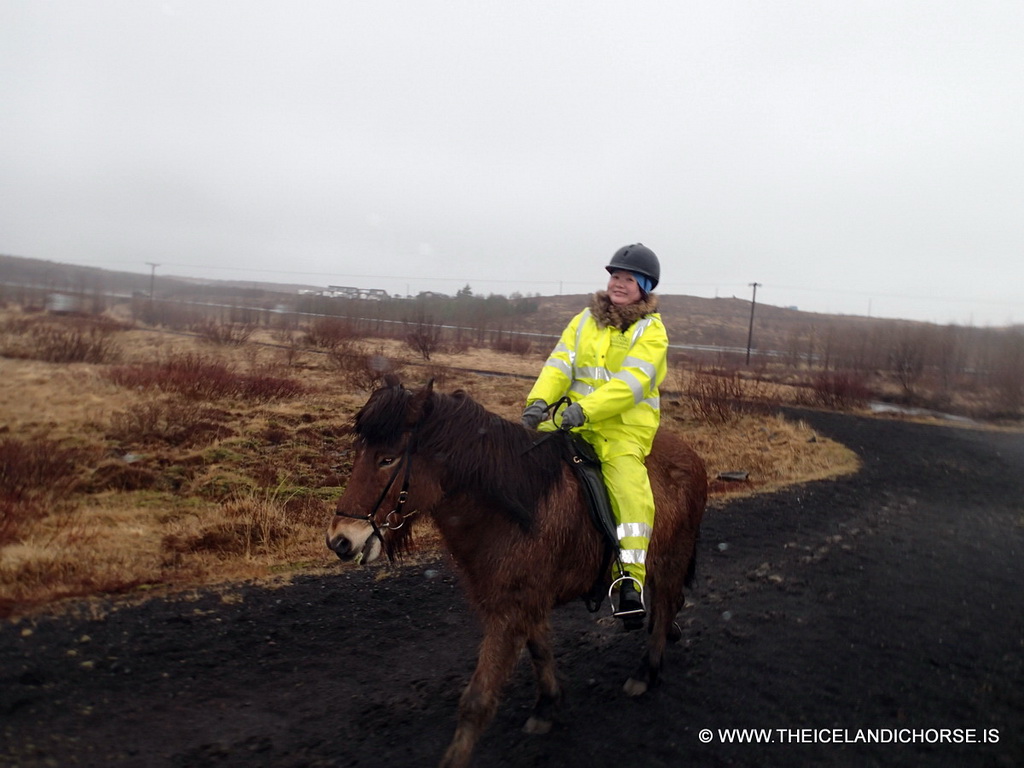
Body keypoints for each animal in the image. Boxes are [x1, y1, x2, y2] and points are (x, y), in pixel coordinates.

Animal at [325, 378, 704, 768]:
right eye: (360, 452)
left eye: (387, 459)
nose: (340, 540)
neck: (512, 509)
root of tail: (690, 454)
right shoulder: (525, 602)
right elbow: (539, 652)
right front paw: (547, 706)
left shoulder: (508, 612)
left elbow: (477, 700)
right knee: (668, 604)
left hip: (670, 559)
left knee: (665, 607)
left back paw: (647, 671)